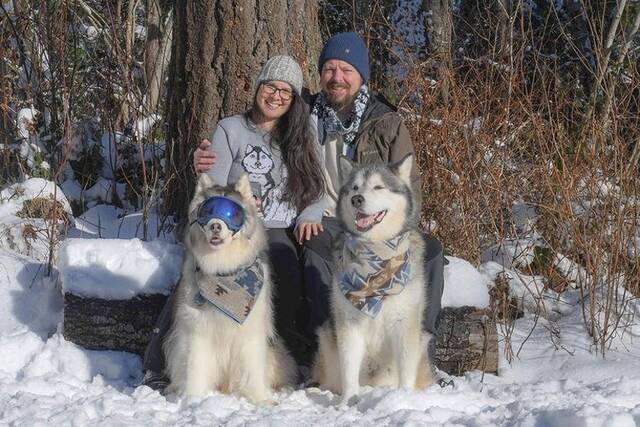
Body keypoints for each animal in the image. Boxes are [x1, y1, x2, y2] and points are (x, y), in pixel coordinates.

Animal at [164, 173, 296, 404]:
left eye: (232, 214)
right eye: (208, 211)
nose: (216, 226)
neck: (223, 270)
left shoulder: (251, 331)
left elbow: (253, 368)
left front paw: (260, 400)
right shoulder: (197, 330)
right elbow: (195, 366)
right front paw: (192, 398)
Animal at [312, 154, 432, 404]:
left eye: (378, 187)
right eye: (354, 188)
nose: (357, 199)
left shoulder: (404, 321)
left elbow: (405, 367)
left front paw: (404, 398)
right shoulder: (349, 323)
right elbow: (349, 368)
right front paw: (349, 401)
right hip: (327, 338)